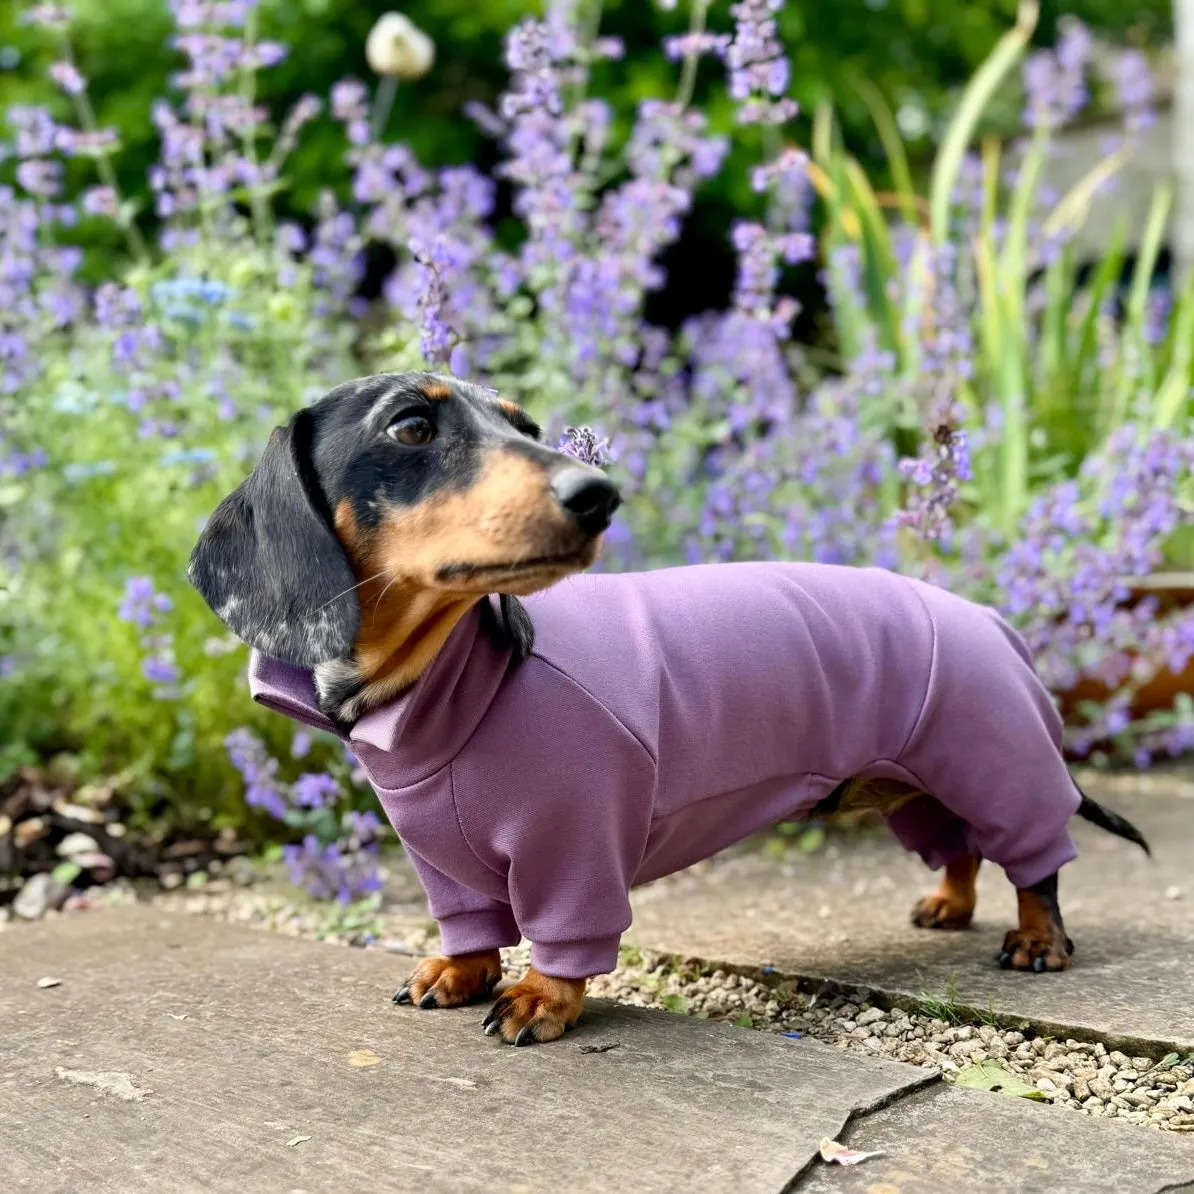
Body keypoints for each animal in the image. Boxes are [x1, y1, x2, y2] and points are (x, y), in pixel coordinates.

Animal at [191, 370, 1151, 1045]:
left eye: (525, 427)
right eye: (411, 426)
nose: (598, 495)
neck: (448, 687)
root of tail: (987, 616)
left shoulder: (576, 845)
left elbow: (565, 935)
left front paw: (539, 999)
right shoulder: (444, 862)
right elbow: (468, 928)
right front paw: (458, 974)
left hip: (995, 762)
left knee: (1034, 861)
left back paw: (1038, 939)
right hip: (913, 785)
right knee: (958, 849)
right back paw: (948, 903)